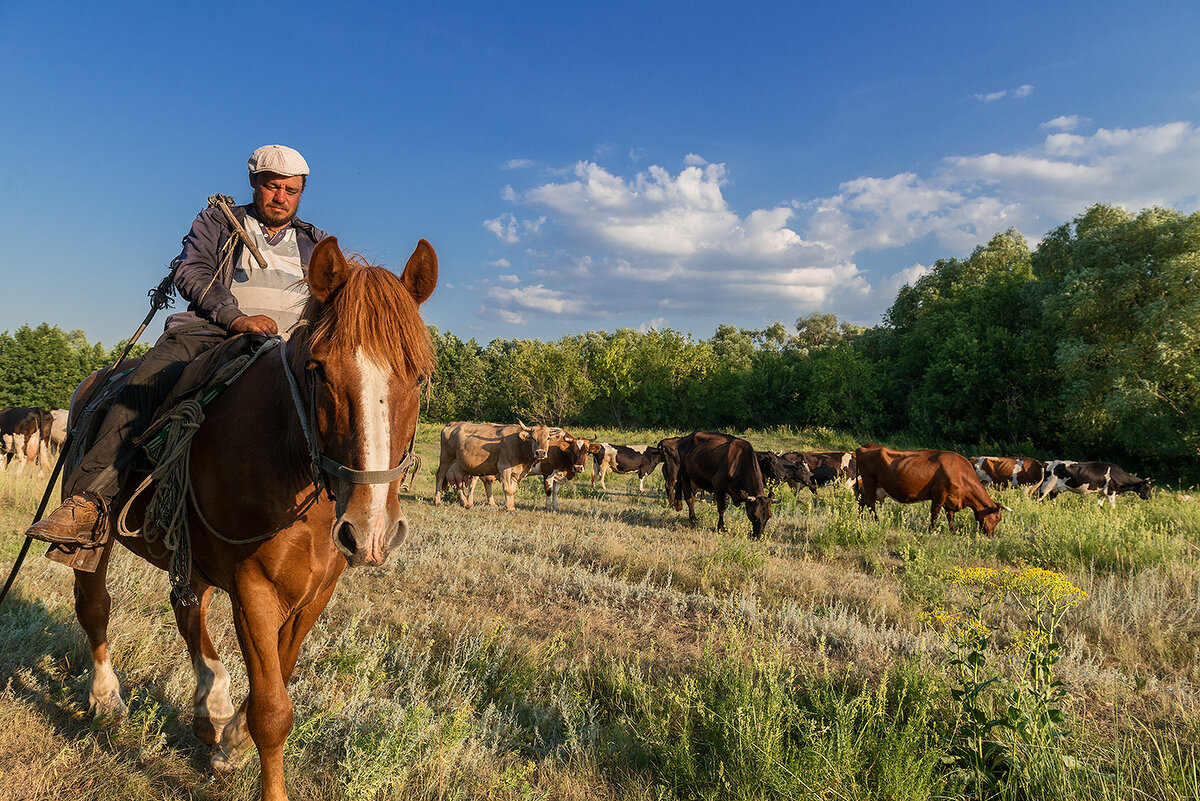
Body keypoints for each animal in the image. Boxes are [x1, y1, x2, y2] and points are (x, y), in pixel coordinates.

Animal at [69, 237, 436, 801]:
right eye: (319, 369)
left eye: (417, 375)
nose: (370, 529)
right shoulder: (253, 588)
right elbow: (272, 710)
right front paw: (246, 745)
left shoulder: (315, 592)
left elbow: (277, 678)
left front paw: (231, 739)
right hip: (96, 534)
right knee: (94, 604)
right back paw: (107, 698)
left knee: (188, 609)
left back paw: (210, 706)